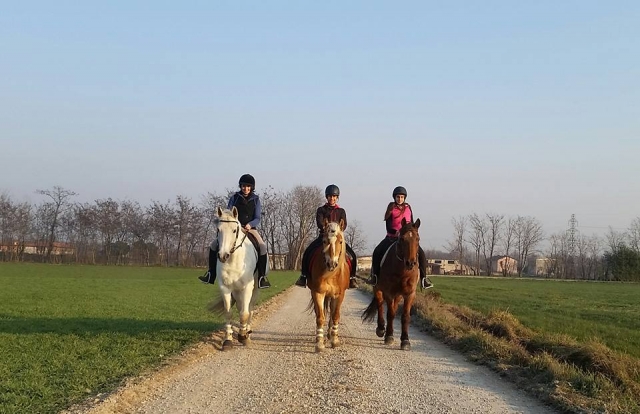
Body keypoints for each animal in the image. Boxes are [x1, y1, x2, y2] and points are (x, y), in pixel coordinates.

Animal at [209, 206, 267, 350]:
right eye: (218, 230)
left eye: (234, 230)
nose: (223, 256)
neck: (233, 259)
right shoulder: (225, 287)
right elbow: (228, 313)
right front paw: (227, 340)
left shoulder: (247, 288)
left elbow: (245, 314)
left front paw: (243, 337)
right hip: (236, 291)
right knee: (242, 307)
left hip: (254, 290)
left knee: (249, 310)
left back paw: (247, 333)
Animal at [306, 218, 350, 353]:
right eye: (324, 241)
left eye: (340, 241)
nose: (332, 264)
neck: (331, 275)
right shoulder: (318, 293)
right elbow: (320, 317)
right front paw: (319, 343)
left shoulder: (339, 295)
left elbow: (335, 316)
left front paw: (335, 340)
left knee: (331, 314)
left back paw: (331, 334)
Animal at [362, 218, 421, 351]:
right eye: (402, 239)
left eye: (418, 239)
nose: (410, 263)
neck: (402, 271)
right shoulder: (389, 293)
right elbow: (390, 313)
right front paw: (388, 336)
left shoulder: (409, 294)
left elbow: (405, 316)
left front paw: (405, 340)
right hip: (378, 288)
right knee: (380, 305)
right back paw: (381, 329)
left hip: (398, 295)